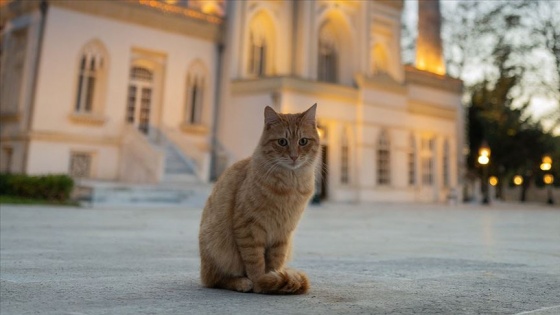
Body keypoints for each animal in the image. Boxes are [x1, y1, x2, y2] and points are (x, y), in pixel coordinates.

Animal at [199, 105, 320, 296]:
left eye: (303, 141)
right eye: (282, 142)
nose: (294, 156)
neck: (289, 185)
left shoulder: (283, 233)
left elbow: (275, 261)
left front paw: (273, 277)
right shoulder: (248, 228)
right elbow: (255, 261)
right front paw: (260, 283)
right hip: (217, 249)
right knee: (215, 280)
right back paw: (241, 282)